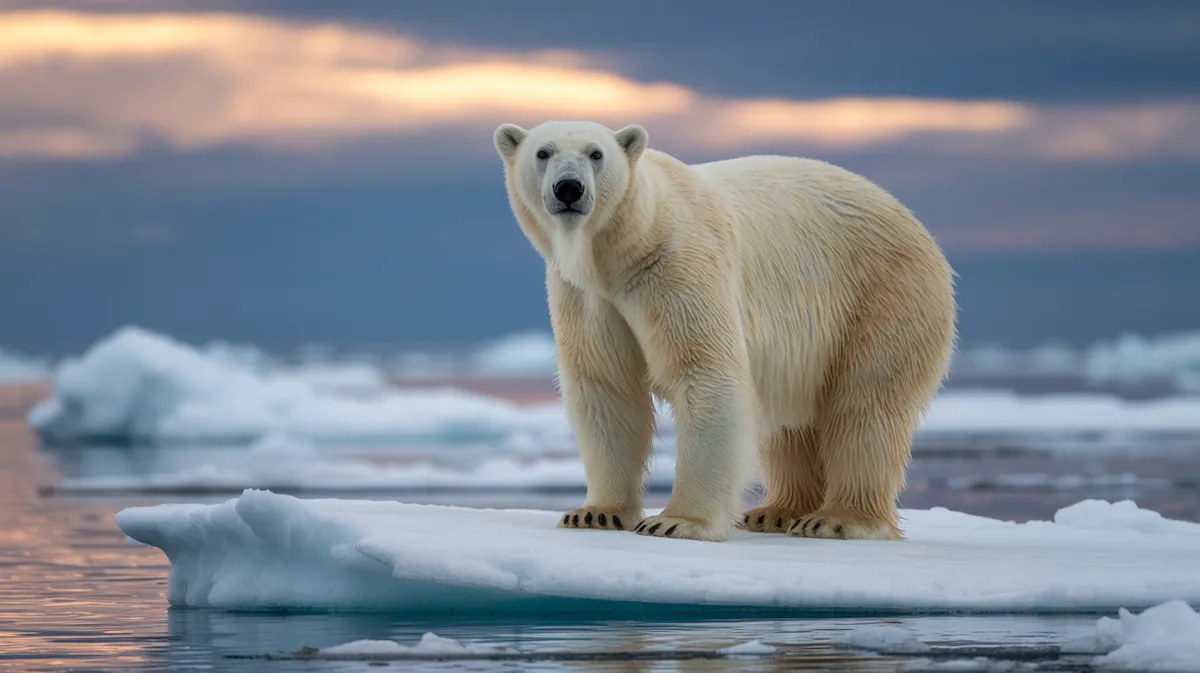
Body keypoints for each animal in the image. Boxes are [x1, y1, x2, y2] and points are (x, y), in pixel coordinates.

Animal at [492, 120, 956, 543]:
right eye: (543, 152)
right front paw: (594, 513)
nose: (569, 189)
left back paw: (836, 519)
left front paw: (676, 521)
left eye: (596, 154)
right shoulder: (586, 296)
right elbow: (607, 386)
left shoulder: (676, 264)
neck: (624, 249)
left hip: (881, 294)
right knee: (791, 421)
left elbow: (703, 371)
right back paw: (778, 512)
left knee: (866, 405)